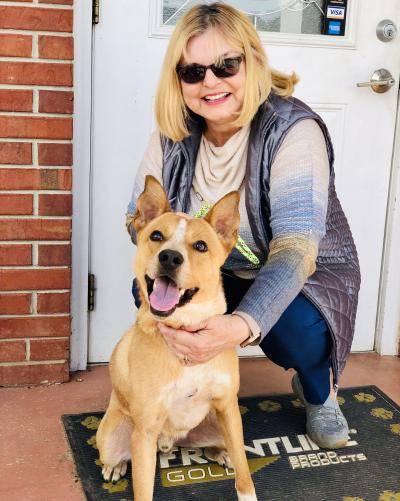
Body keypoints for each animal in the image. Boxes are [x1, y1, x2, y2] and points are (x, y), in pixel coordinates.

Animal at [97, 176, 260, 500]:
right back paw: (115, 466)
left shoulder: (228, 406)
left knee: (222, 446)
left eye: (200, 246)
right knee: (116, 455)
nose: (170, 257)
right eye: (156, 235)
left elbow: (244, 470)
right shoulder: (145, 429)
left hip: (217, 421)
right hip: (112, 435)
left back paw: (221, 453)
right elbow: (143, 490)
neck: (185, 328)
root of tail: (168, 443)